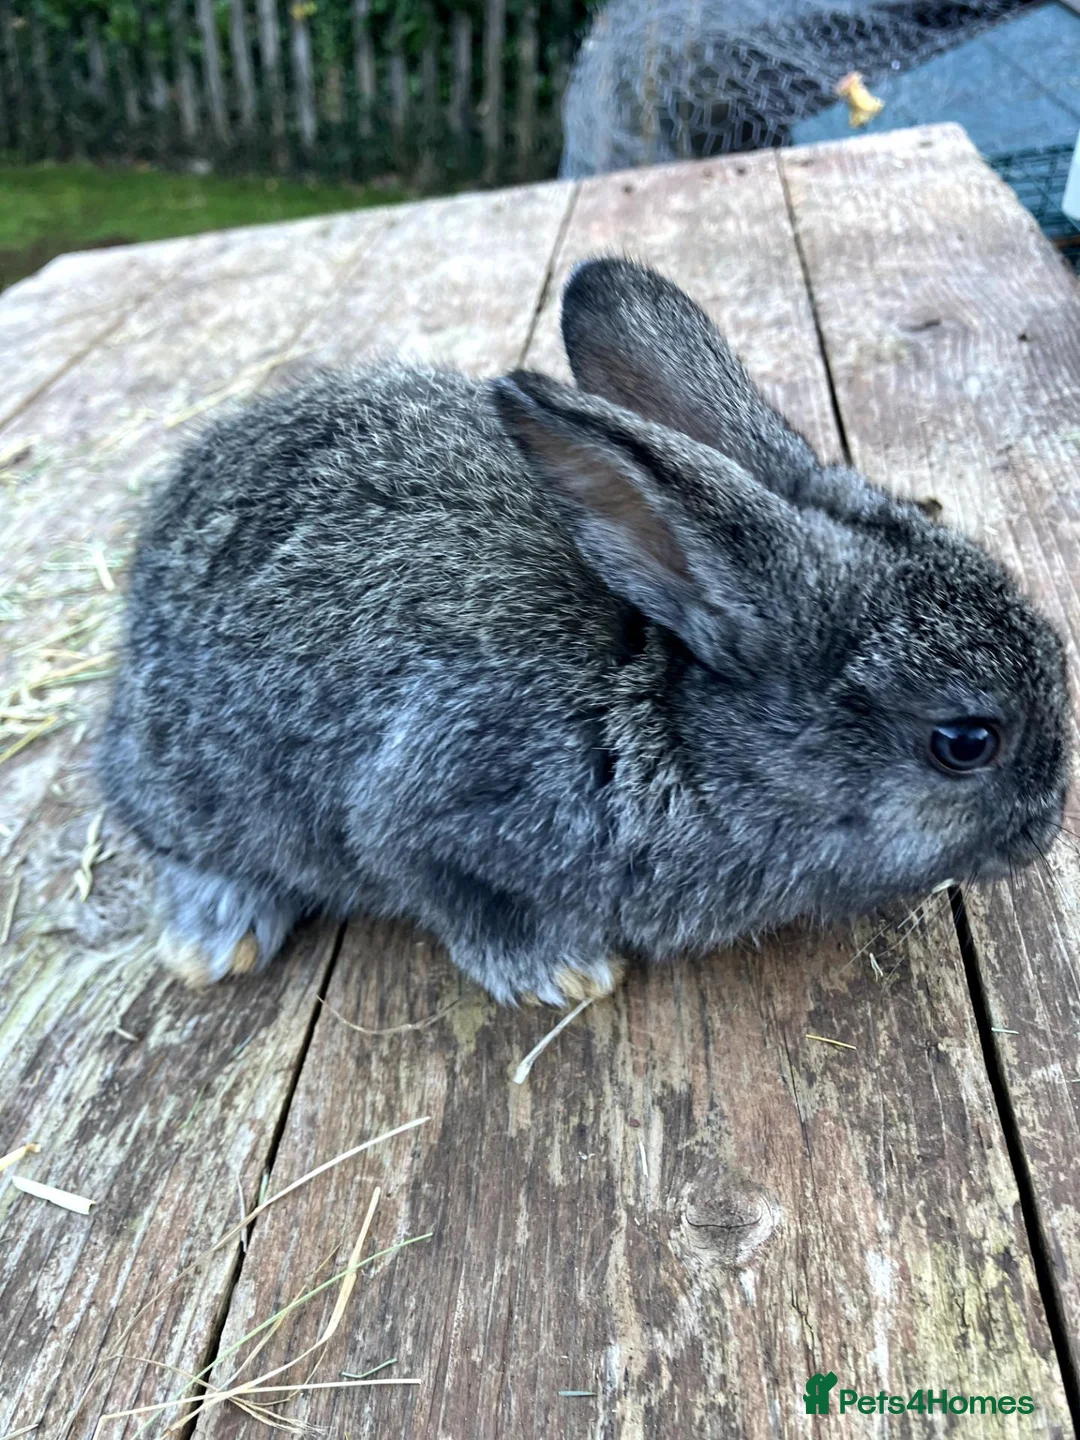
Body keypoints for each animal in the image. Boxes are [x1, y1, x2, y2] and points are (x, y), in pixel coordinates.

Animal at [99, 257, 1070, 1006]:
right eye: (966, 741)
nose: (1045, 829)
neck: (672, 721)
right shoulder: (424, 809)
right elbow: (460, 898)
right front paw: (564, 975)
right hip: (193, 784)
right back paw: (216, 939)